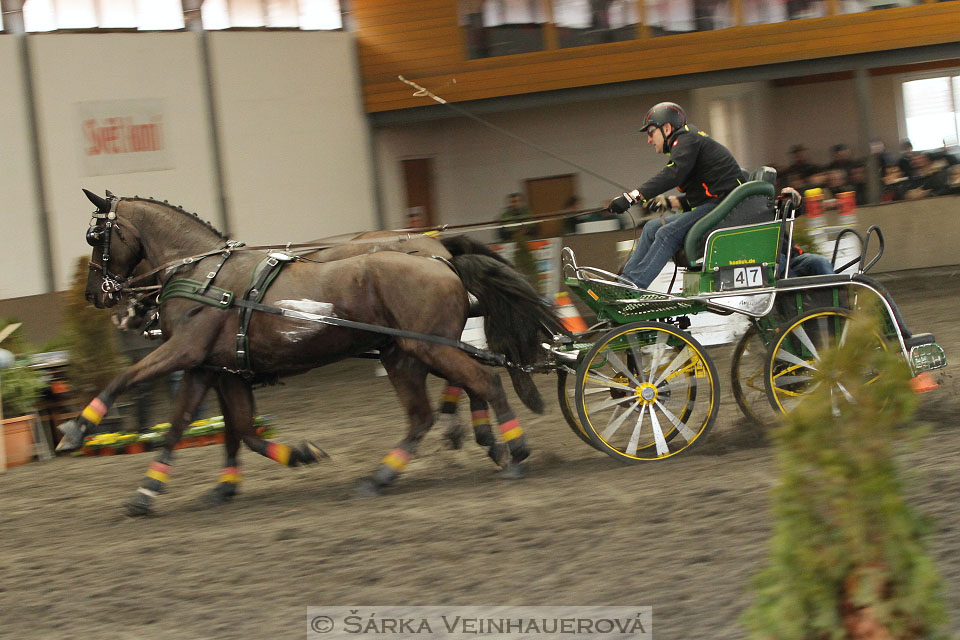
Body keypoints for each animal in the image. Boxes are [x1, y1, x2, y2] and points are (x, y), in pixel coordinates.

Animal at [73, 189, 564, 516]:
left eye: (95, 235)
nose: (96, 295)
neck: (205, 275)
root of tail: (435, 255)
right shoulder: (215, 368)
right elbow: (221, 430)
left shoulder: (185, 353)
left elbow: (126, 380)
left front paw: (79, 429)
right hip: (405, 353)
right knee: (428, 410)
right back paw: (392, 471)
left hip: (426, 347)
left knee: (482, 381)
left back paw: (512, 450)